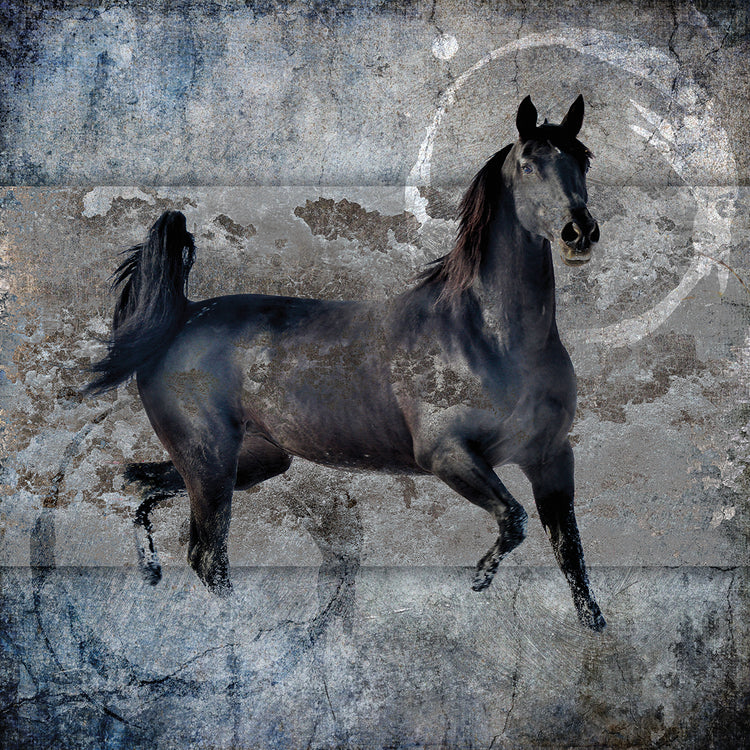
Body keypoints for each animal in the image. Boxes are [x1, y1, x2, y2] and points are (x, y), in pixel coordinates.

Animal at [87, 95, 605, 631]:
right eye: (528, 164)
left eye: (583, 159)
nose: (579, 233)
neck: (491, 340)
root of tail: (184, 317)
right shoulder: (447, 454)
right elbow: (514, 520)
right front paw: (480, 577)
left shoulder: (550, 457)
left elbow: (569, 550)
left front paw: (595, 630)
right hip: (209, 460)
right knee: (207, 555)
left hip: (251, 460)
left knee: (144, 487)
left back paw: (152, 570)